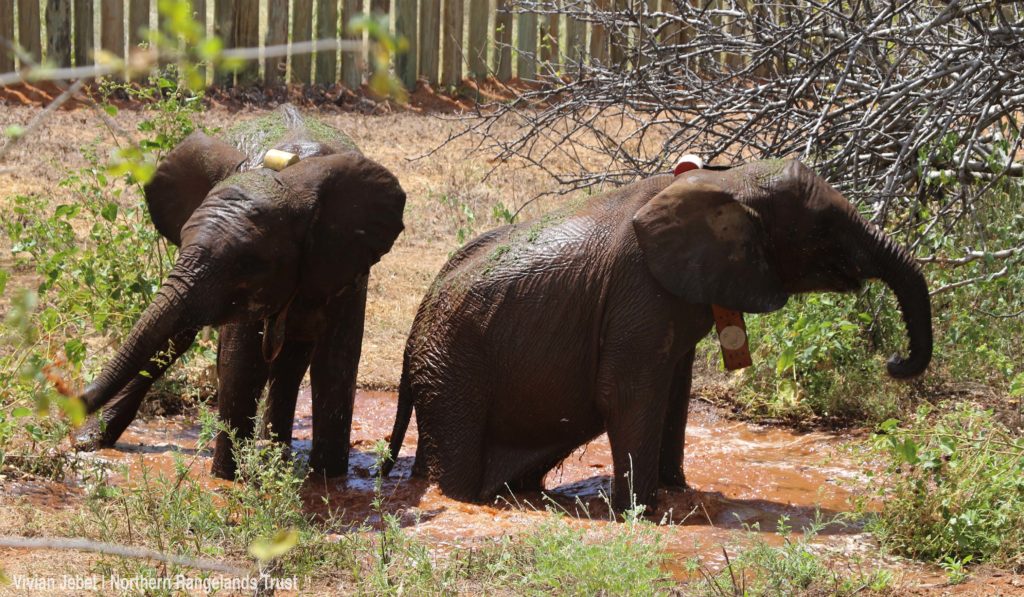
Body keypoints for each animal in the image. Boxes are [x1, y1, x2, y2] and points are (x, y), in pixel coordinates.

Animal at [76, 104, 403, 481]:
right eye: (184, 238)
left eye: (249, 262)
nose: (70, 396)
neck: (287, 175)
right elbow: (241, 363)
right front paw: (227, 480)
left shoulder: (347, 267)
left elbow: (335, 365)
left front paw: (328, 480)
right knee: (177, 336)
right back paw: (90, 441)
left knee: (290, 361)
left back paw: (276, 456)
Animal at [382, 157, 929, 514]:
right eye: (824, 228)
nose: (895, 363)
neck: (728, 179)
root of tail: (413, 333)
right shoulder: (639, 289)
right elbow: (628, 394)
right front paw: (642, 513)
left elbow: (674, 394)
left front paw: (677, 494)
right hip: (454, 369)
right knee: (456, 460)